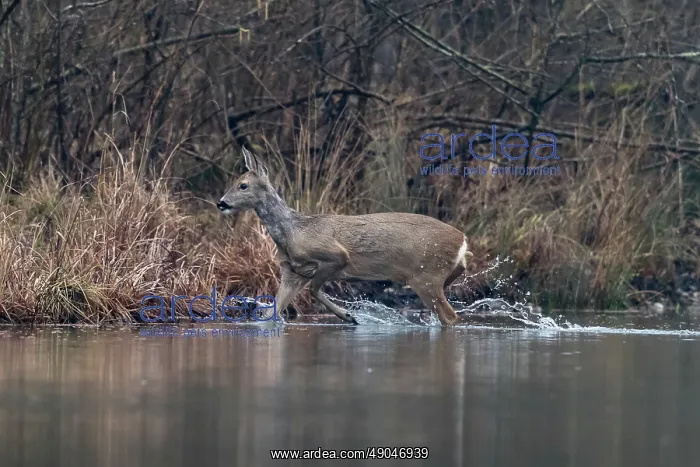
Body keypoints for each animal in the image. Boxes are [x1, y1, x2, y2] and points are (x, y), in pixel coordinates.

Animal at [216, 147, 473, 326]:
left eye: (243, 185)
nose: (221, 203)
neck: (293, 231)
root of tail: (462, 240)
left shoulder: (334, 255)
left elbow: (314, 290)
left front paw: (349, 315)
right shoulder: (291, 272)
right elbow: (273, 311)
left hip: (426, 275)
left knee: (451, 317)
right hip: (438, 275)